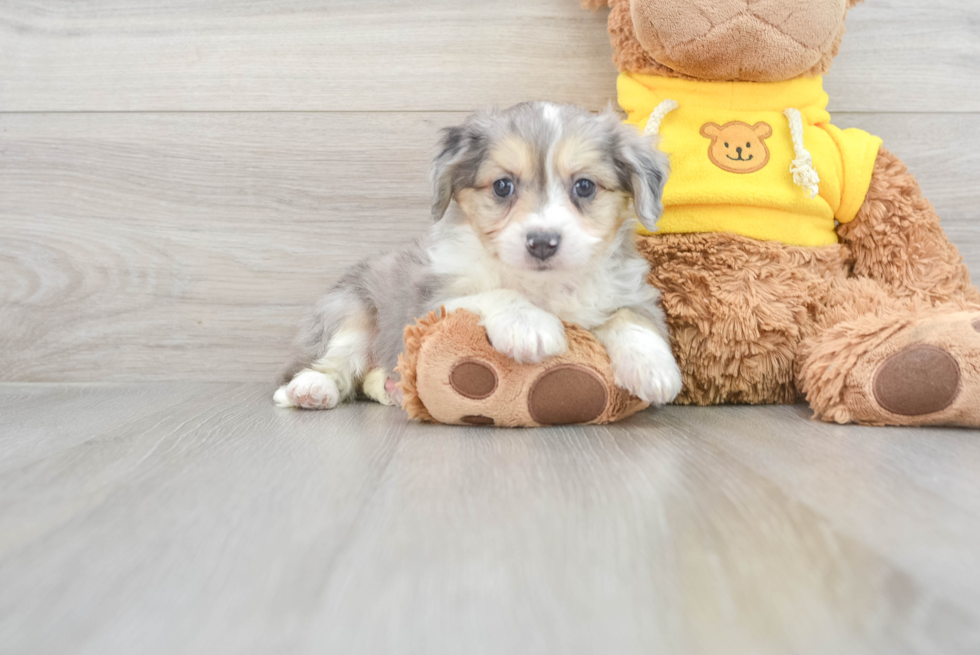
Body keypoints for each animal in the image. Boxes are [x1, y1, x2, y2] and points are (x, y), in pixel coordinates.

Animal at [272, 101, 676, 410]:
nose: (542, 242)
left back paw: (392, 390)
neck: (542, 286)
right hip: (351, 310)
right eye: (502, 186)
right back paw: (310, 389)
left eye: (585, 186)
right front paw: (529, 325)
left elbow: (631, 318)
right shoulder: (433, 303)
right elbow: (495, 293)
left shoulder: (630, 293)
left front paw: (653, 367)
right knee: (332, 362)